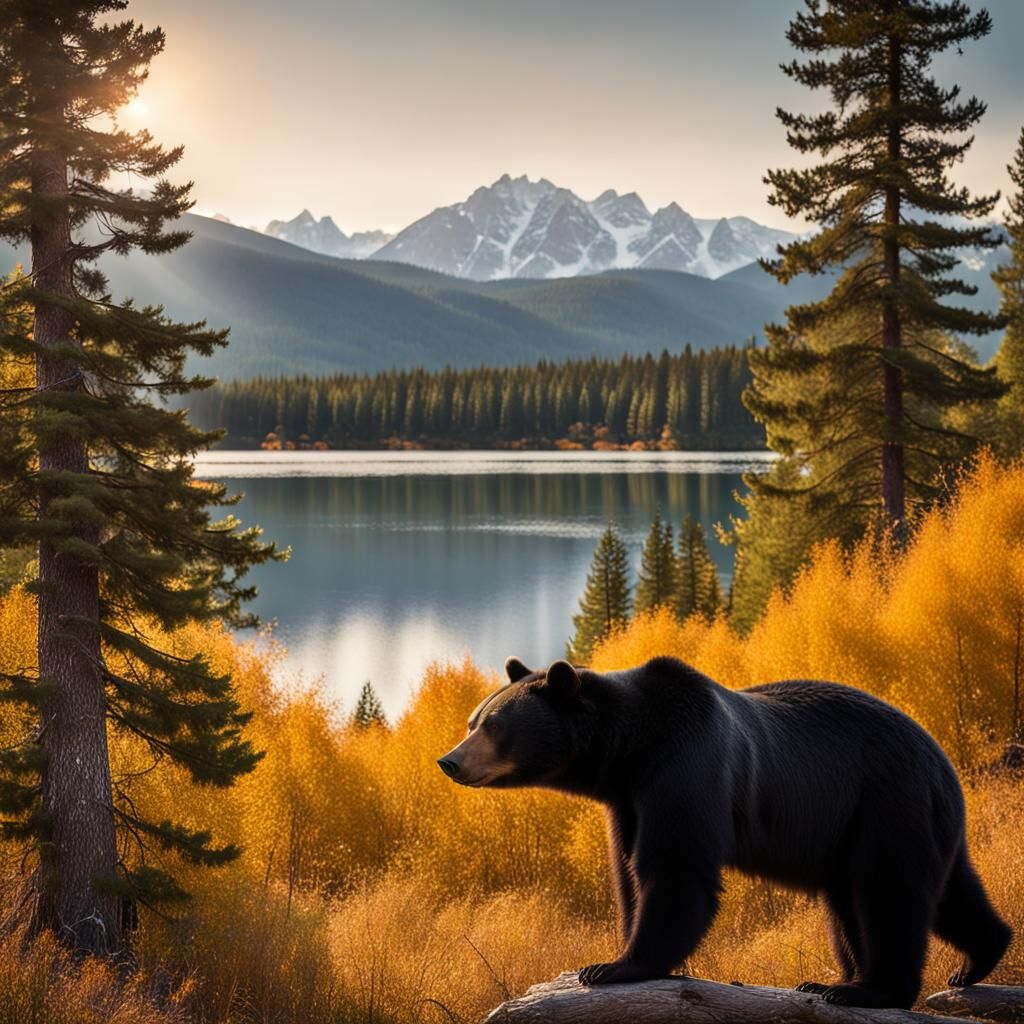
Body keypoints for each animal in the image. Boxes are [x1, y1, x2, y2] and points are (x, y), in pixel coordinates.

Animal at [436, 655, 1012, 1010]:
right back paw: (972, 957)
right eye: (472, 720)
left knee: (887, 891)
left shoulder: (688, 767)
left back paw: (870, 990)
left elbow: (676, 868)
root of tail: (945, 764)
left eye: (494, 724)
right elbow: (628, 871)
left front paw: (615, 966)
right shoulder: (628, 801)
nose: (449, 761)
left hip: (885, 800)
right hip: (880, 821)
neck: (631, 750)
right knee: (934, 891)